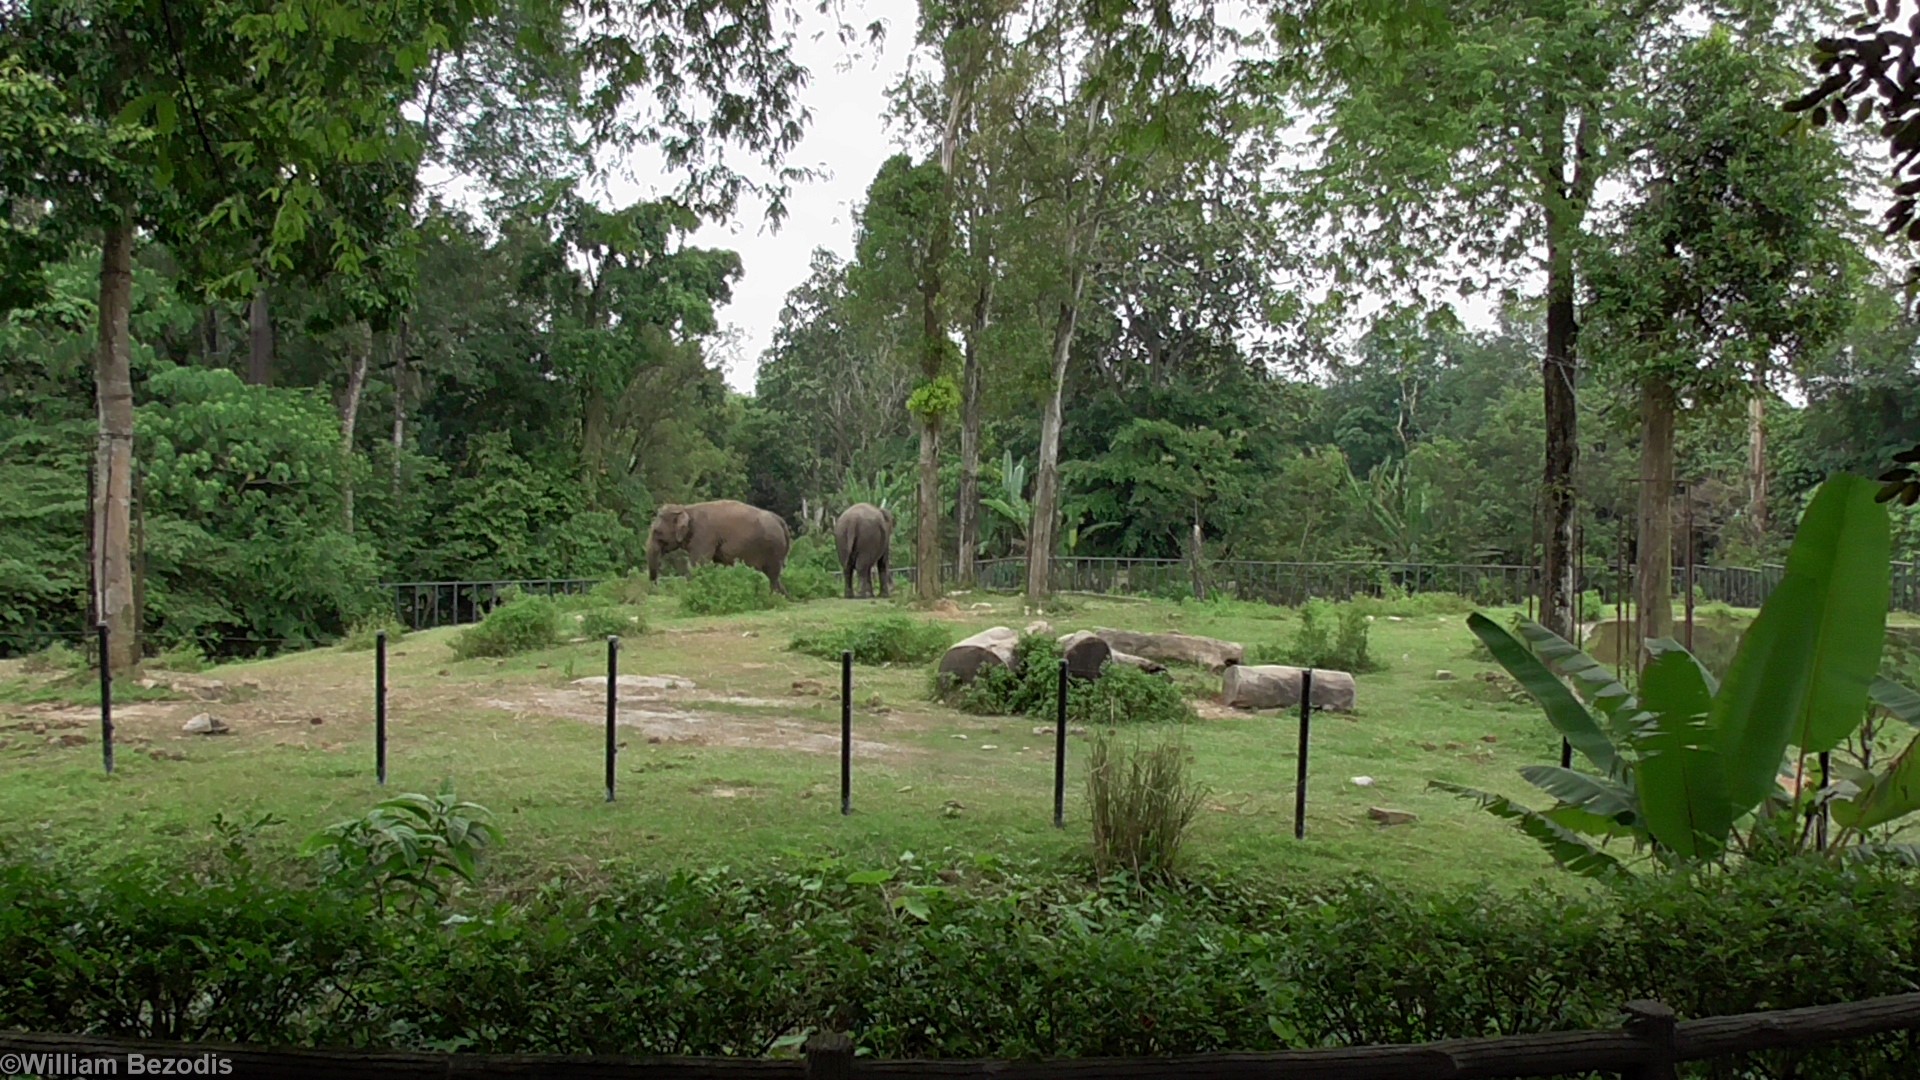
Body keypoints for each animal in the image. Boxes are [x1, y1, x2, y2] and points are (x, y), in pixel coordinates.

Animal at [646, 499, 791, 596]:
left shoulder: (704, 536)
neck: (686, 509)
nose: (656, 588)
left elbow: (698, 565)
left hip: (773, 548)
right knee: (775, 576)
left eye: (657, 531)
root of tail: (780, 521)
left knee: (772, 576)